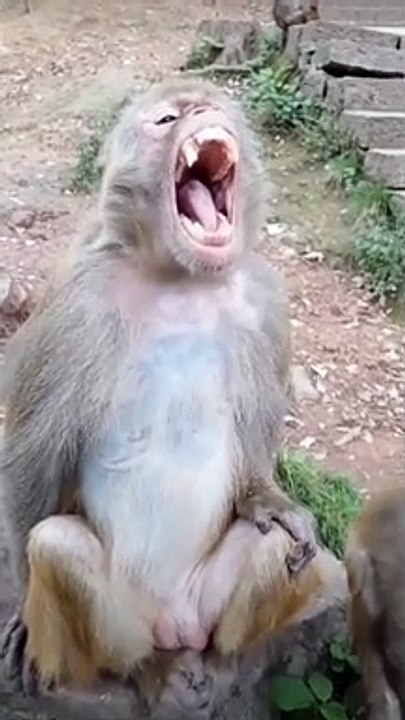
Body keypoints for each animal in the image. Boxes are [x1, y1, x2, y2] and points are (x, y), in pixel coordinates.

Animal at [0, 79, 327, 706]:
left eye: (210, 106)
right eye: (167, 120)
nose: (200, 109)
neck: (184, 281)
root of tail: (176, 623)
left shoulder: (267, 304)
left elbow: (257, 442)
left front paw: (268, 500)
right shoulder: (78, 302)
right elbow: (33, 454)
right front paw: (22, 616)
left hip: (207, 603)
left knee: (278, 547)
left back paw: (222, 661)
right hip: (128, 617)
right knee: (57, 546)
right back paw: (147, 669)